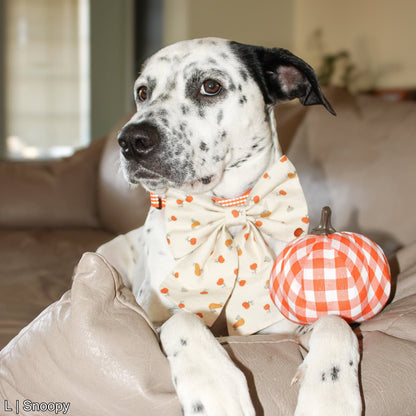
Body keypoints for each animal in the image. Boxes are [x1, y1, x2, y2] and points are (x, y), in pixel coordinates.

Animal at [97, 37, 360, 414]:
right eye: (143, 92)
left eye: (210, 86)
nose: (131, 140)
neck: (227, 215)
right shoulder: (155, 317)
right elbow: (183, 320)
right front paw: (214, 388)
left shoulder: (279, 326)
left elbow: (335, 323)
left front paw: (330, 396)